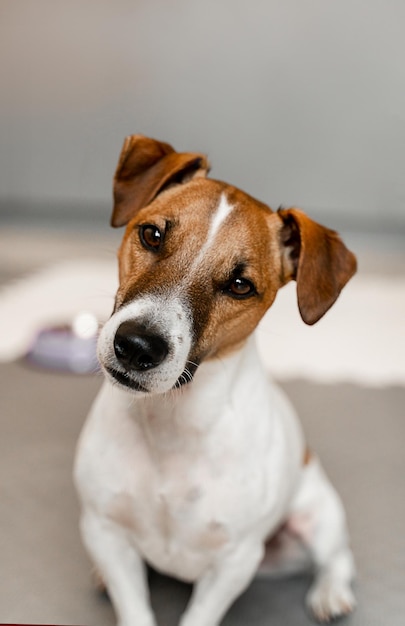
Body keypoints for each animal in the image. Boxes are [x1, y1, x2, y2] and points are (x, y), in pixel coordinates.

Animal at [74, 136, 356, 624]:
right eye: (152, 235)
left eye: (240, 285)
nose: (137, 346)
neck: (170, 424)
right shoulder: (105, 531)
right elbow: (133, 605)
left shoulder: (234, 562)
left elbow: (200, 615)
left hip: (317, 517)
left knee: (338, 557)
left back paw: (331, 593)